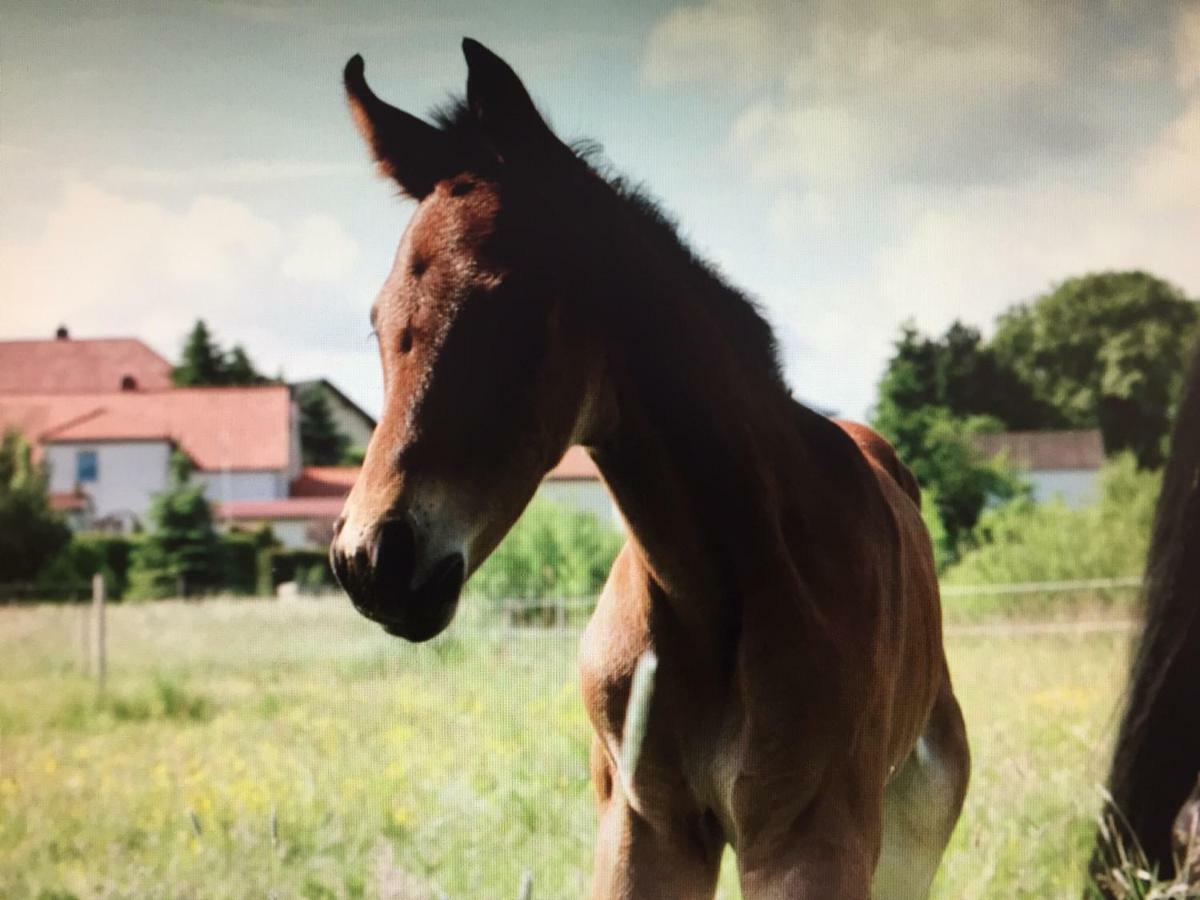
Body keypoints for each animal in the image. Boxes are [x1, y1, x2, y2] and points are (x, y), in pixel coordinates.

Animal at [333, 40, 969, 900]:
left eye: (512, 308)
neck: (712, 598)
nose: (372, 559)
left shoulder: (812, 839)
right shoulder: (642, 830)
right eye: (380, 320)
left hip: (910, 831)